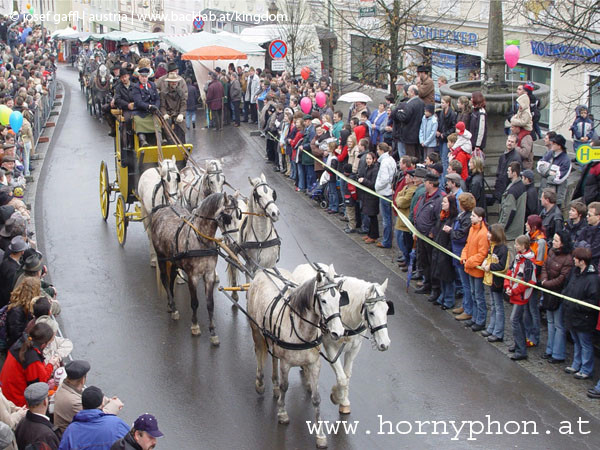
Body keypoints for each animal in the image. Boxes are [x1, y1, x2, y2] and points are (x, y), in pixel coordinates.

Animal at [247, 266, 346, 448]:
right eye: (323, 301)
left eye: (339, 300)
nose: (338, 332)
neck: (301, 330)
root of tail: (264, 270)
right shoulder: (286, 363)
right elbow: (285, 386)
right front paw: (282, 413)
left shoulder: (314, 365)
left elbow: (316, 398)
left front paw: (320, 435)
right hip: (256, 329)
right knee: (259, 352)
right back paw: (260, 383)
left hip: (272, 337)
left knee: (273, 358)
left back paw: (274, 385)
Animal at [292, 264, 394, 414]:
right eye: (371, 312)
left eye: (387, 310)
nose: (385, 344)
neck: (346, 313)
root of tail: (303, 266)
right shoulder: (330, 347)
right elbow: (341, 378)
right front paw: (336, 397)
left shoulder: (354, 349)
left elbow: (347, 374)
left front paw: (344, 400)